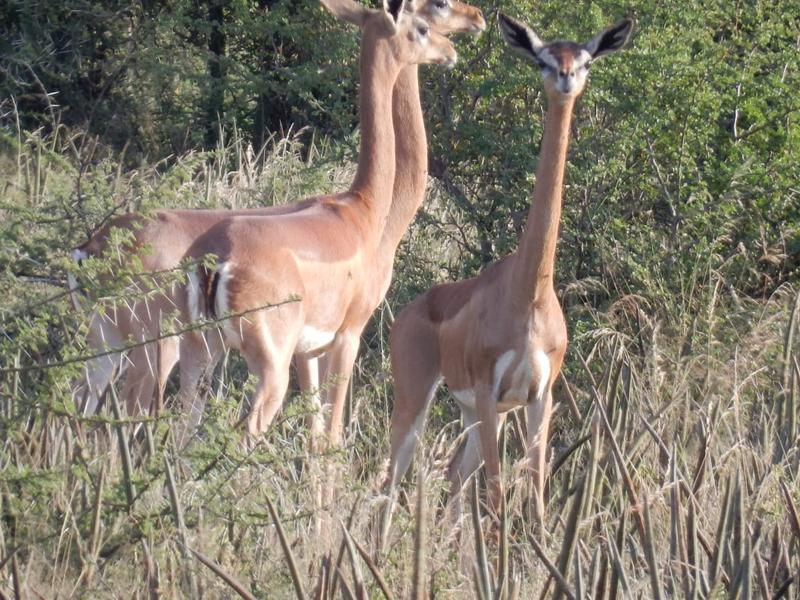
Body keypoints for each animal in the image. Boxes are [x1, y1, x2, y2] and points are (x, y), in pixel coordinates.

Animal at [69, 0, 484, 432]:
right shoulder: (347, 336)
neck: (364, 212)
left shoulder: (309, 351)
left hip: (152, 349)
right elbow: (331, 432)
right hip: (192, 356)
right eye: (425, 22)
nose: (470, 27)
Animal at [382, 14, 633, 522]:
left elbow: (534, 490)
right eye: (541, 58)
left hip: (480, 415)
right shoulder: (488, 389)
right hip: (420, 399)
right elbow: (498, 492)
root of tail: (412, 310)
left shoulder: (539, 395)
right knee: (392, 477)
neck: (529, 296)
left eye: (586, 59)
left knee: (453, 474)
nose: (565, 78)